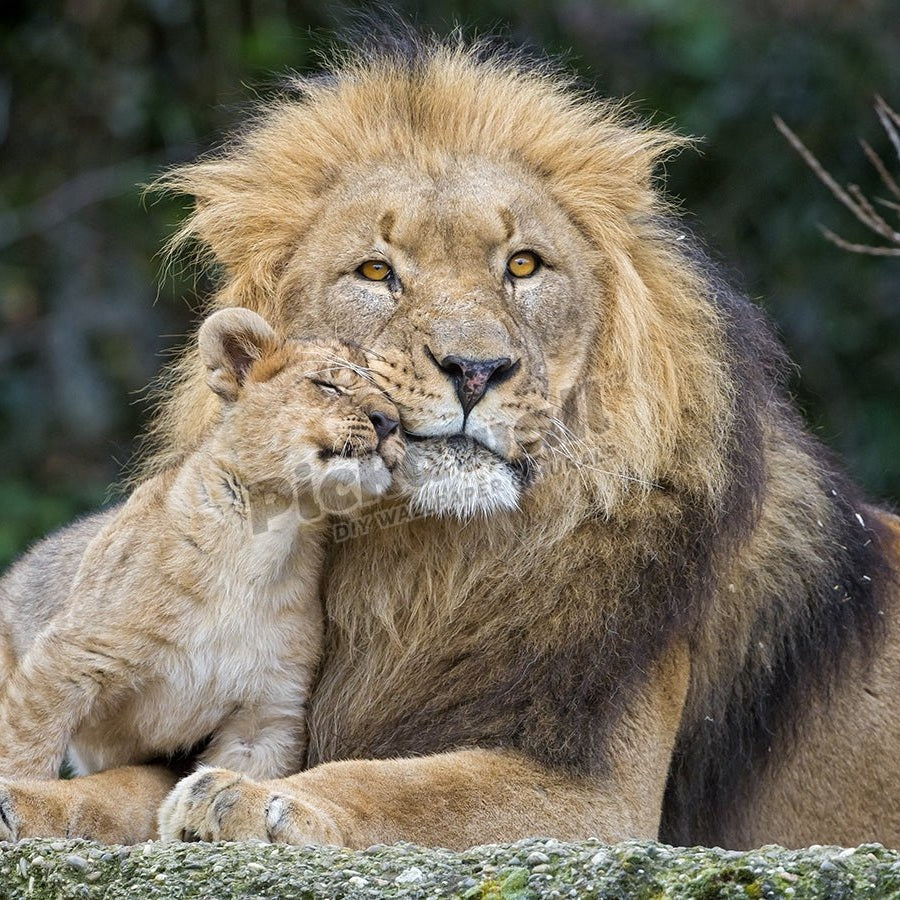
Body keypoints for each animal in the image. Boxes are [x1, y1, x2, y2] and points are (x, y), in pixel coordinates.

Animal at [0, 308, 402, 784]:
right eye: (329, 385)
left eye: (395, 402)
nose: (390, 422)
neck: (271, 535)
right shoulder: (70, 658)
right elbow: (23, 756)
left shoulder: (267, 712)